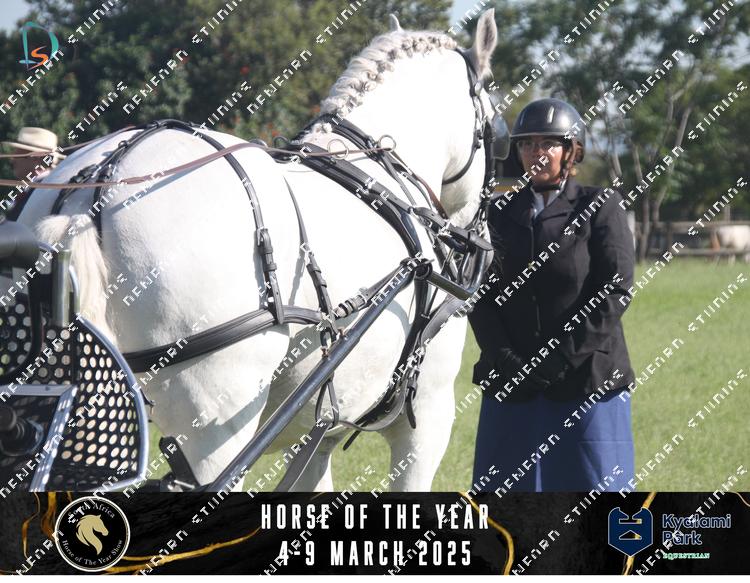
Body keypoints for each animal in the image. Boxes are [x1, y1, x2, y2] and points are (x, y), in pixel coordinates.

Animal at [14, 10, 500, 491]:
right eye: (495, 116)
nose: (480, 239)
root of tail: (95, 184)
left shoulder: (317, 430)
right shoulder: (427, 418)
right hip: (215, 419)